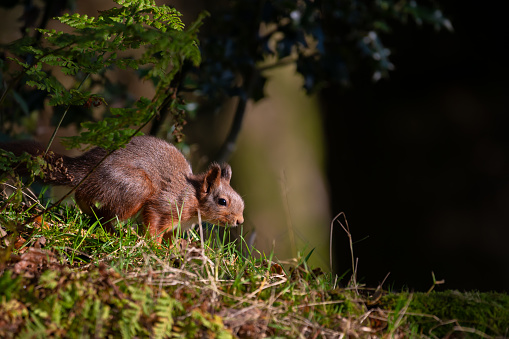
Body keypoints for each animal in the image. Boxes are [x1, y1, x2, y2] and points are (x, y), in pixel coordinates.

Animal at [0, 137, 244, 243]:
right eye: (222, 201)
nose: (239, 221)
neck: (193, 197)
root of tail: (86, 170)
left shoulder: (178, 226)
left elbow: (171, 239)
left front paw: (172, 251)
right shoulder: (167, 205)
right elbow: (154, 223)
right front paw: (154, 247)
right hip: (136, 187)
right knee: (97, 211)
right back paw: (113, 232)